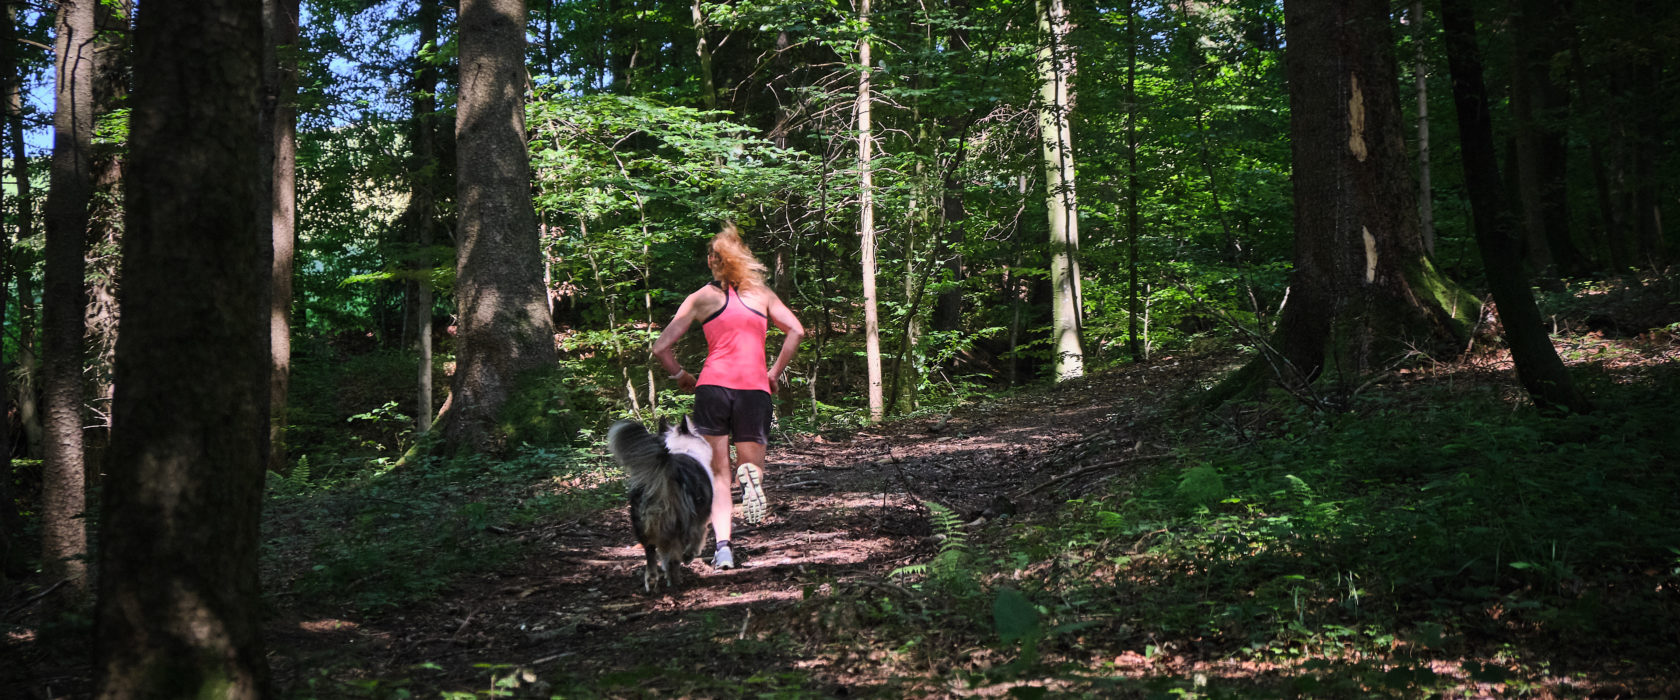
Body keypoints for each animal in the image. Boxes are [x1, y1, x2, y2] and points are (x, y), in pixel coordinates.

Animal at [608, 414, 712, 590]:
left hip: (644, 525)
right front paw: (689, 556)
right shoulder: (700, 519)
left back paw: (651, 580)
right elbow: (697, 538)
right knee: (673, 559)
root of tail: (665, 466)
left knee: (650, 552)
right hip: (678, 525)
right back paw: (675, 581)